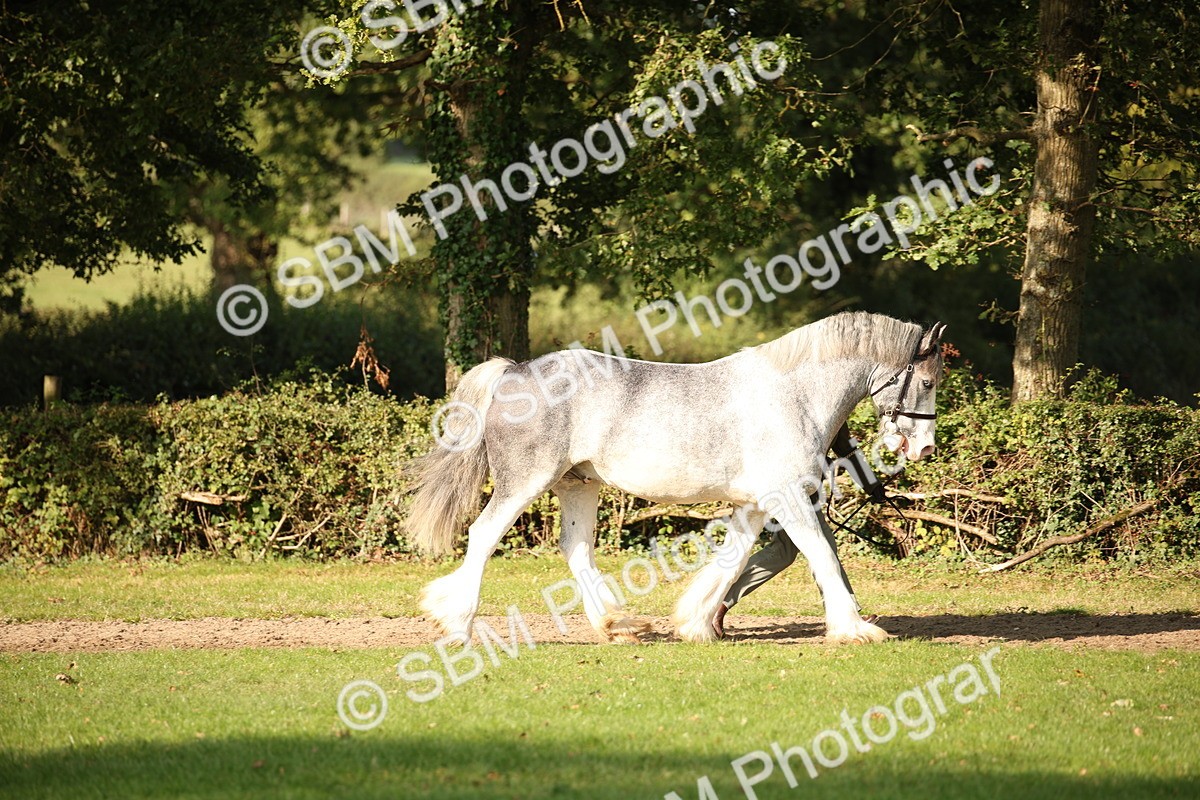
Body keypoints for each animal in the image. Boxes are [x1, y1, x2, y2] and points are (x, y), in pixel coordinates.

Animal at [408, 310, 945, 645]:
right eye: (928, 380)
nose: (924, 447)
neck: (795, 394)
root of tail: (514, 371)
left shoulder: (756, 505)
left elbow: (732, 559)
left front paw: (696, 624)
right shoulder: (788, 499)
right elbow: (821, 557)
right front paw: (857, 630)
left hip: (578, 485)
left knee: (576, 548)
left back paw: (618, 625)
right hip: (525, 481)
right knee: (483, 534)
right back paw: (457, 622)